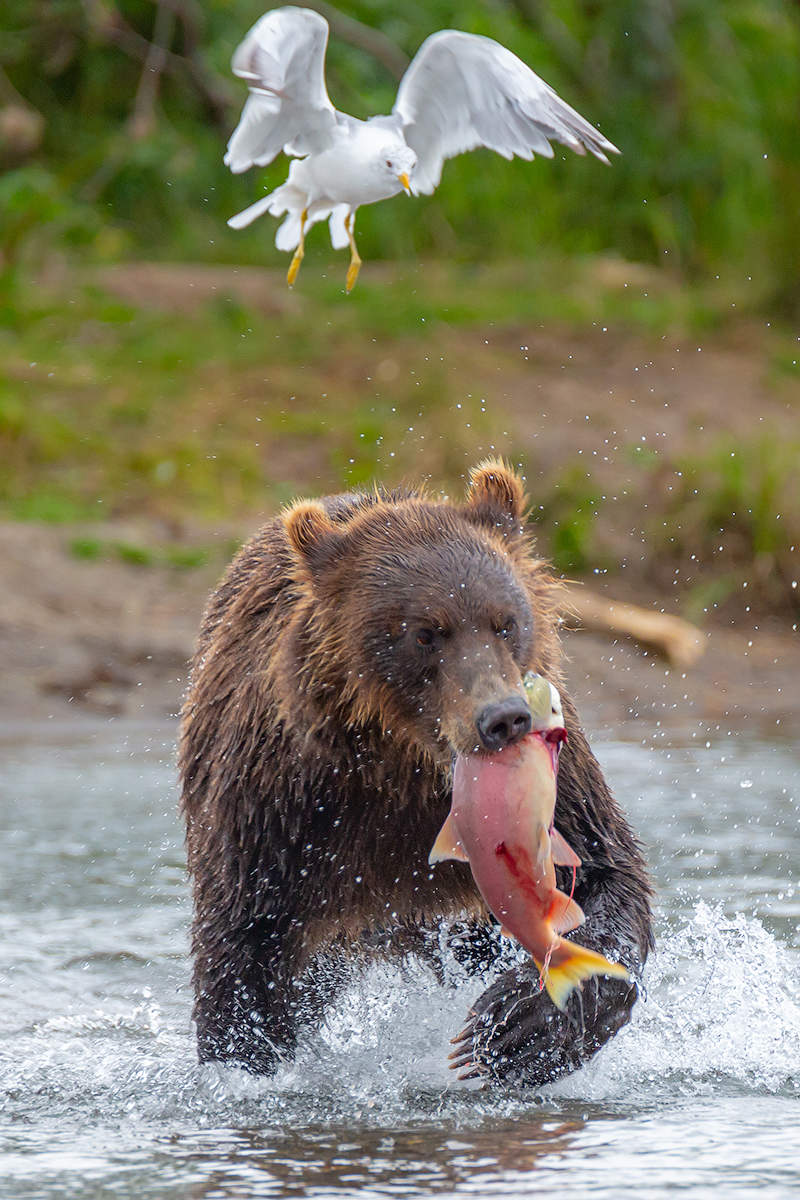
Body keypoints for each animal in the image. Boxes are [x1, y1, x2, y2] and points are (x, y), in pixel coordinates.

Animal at [183, 463, 657, 1084]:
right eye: (425, 632)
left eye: (505, 622)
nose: (503, 717)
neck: (404, 766)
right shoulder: (281, 804)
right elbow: (243, 942)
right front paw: (246, 1062)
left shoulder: (560, 782)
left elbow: (607, 873)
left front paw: (517, 1026)